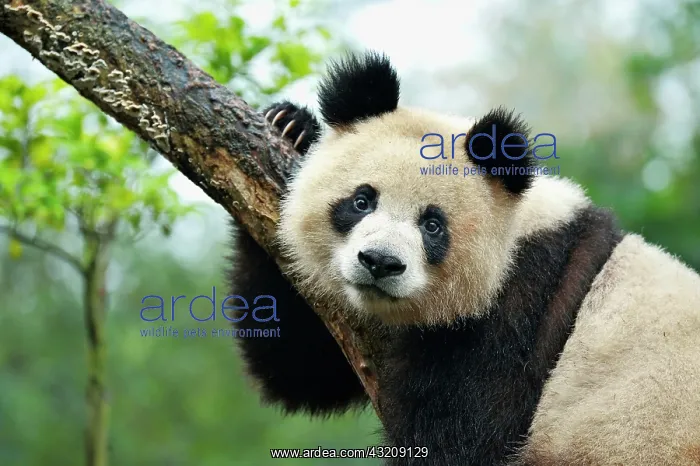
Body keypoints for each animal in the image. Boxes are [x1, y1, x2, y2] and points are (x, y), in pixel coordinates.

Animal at [227, 50, 700, 465]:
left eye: (433, 225)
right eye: (361, 201)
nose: (380, 263)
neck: (517, 234)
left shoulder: (522, 313)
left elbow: (463, 439)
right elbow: (303, 367)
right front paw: (291, 124)